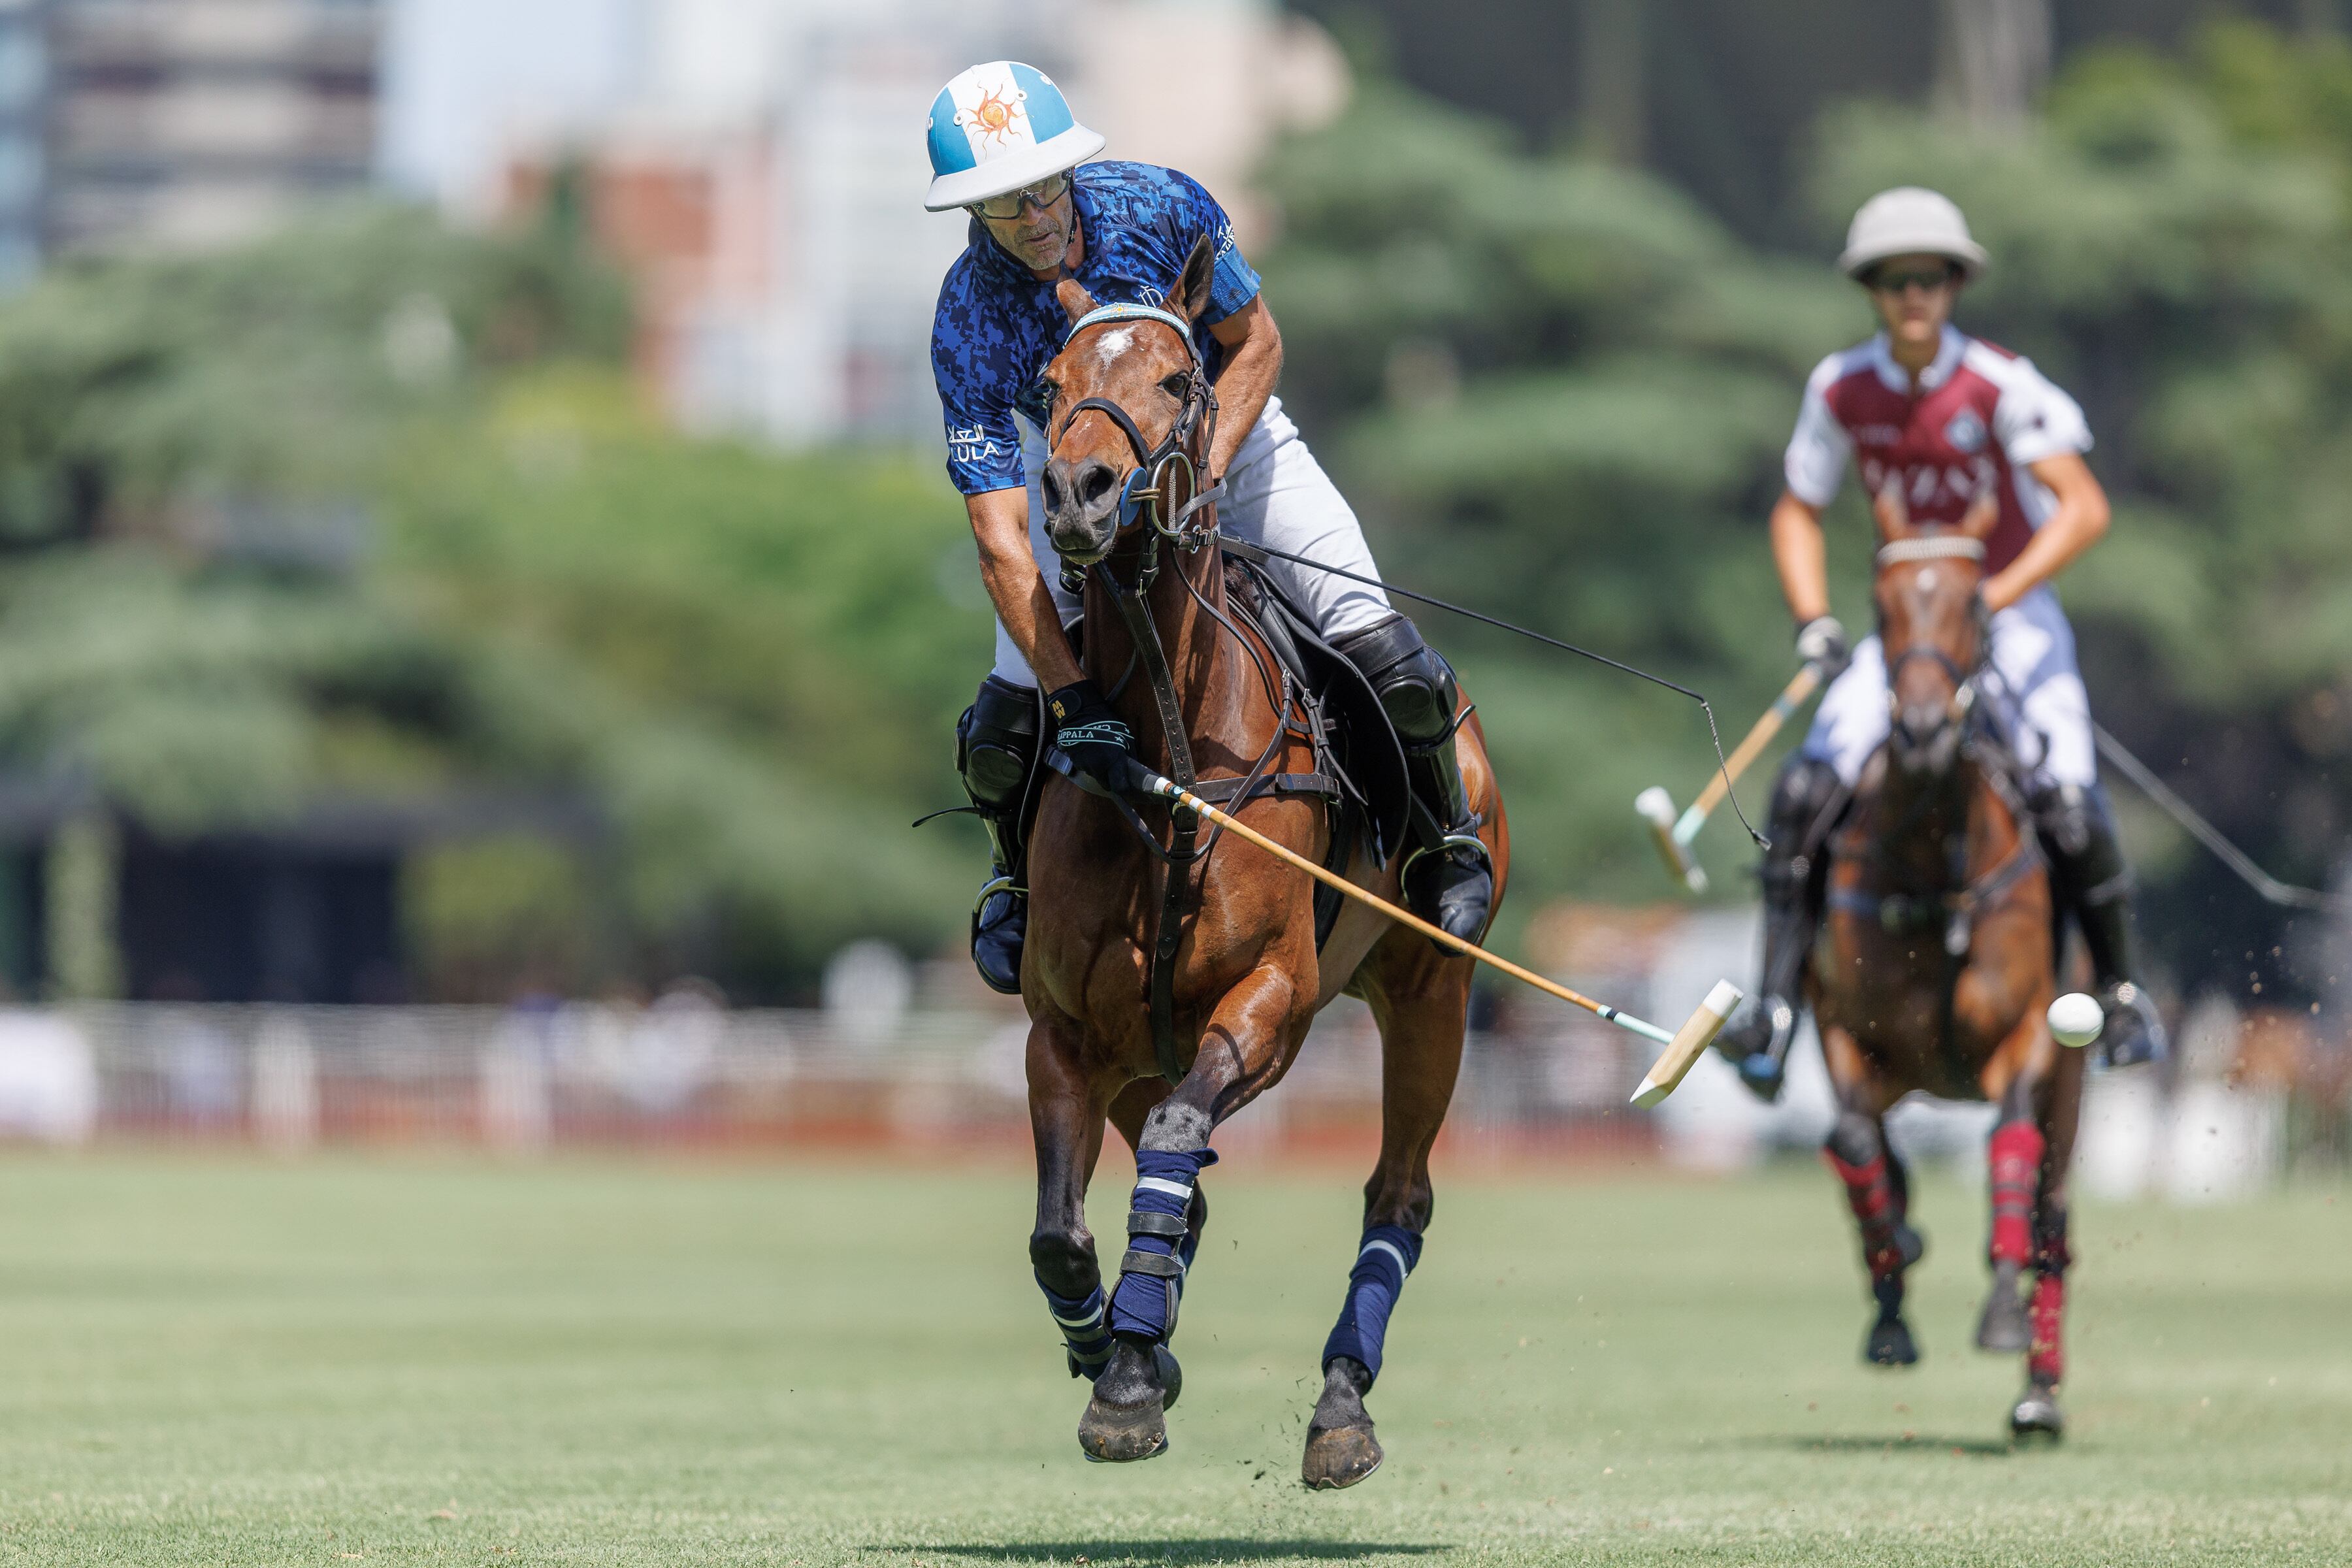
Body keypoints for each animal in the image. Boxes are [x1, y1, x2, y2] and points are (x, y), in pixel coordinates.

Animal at [1025, 240, 1514, 1495]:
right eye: (1047, 386)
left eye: (1176, 380)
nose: (1078, 493)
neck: (1168, 755)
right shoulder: (1067, 1029)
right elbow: (1063, 1231)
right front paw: (1118, 1353)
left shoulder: (1275, 999)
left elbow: (1180, 1141)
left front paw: (1128, 1380)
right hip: (1140, 1050)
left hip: (1431, 989)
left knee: (1398, 1192)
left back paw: (1342, 1406)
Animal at [1816, 484, 2079, 1439]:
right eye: (1880, 602)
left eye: (1974, 604)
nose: (1926, 731)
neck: (1936, 855)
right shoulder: (1845, 1033)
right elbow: (1859, 1146)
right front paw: (1892, 1297)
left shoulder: (2028, 1035)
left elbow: (2008, 1137)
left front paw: (1999, 1313)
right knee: (1879, 1160)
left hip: (2075, 1085)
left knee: (2053, 1220)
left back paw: (2039, 1394)